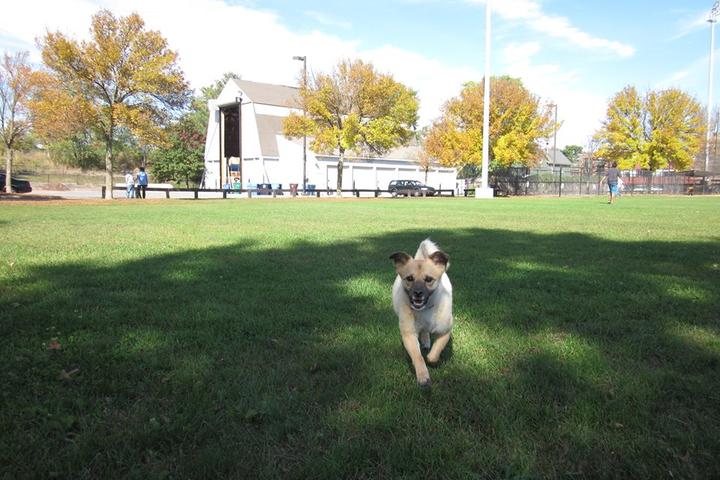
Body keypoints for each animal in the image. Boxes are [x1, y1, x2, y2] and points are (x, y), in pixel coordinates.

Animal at [390, 238, 452, 388]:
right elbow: (417, 356)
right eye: (409, 278)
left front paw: (431, 358)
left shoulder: (445, 331)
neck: (425, 310)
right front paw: (423, 376)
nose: (418, 293)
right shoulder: (409, 335)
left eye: (429, 279)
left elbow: (436, 351)